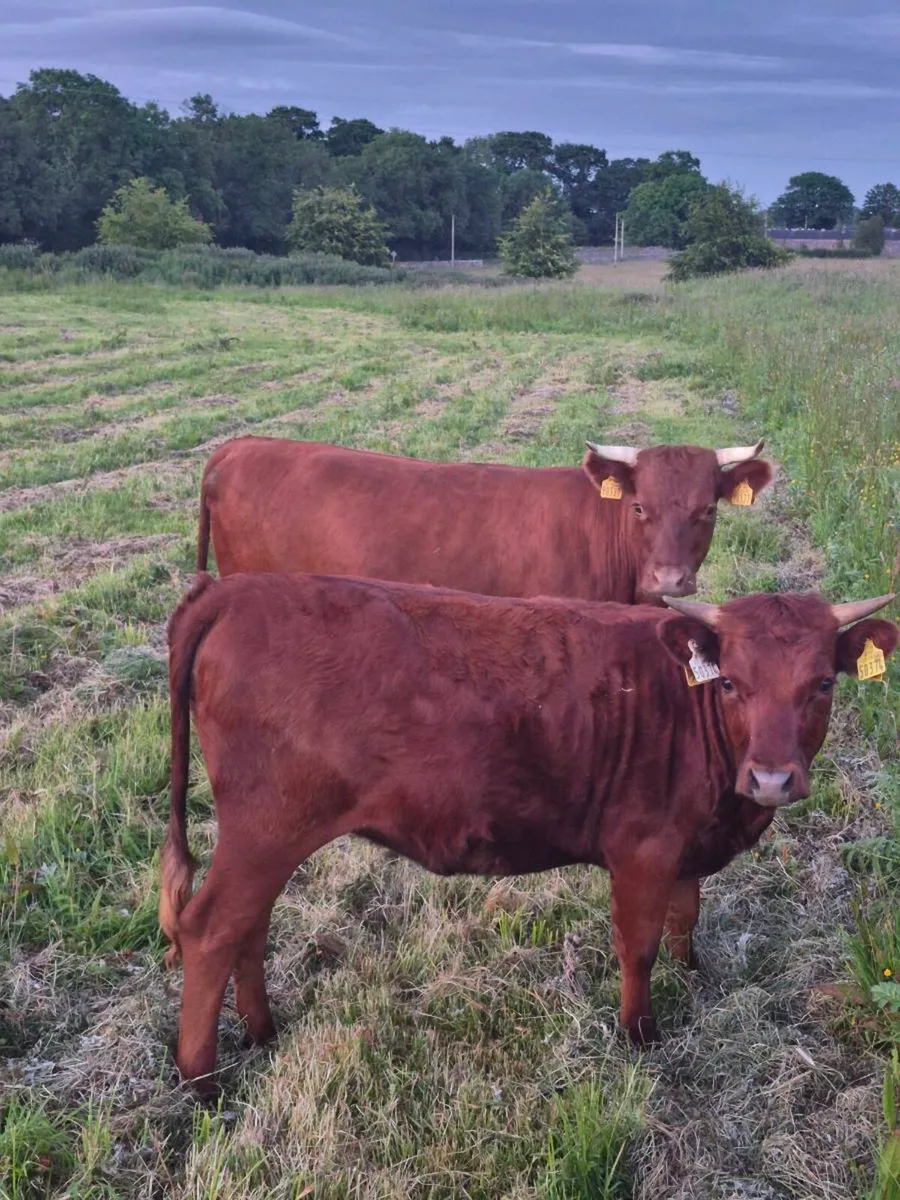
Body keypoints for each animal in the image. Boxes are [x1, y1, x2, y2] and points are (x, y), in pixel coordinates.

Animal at [158, 571, 896, 1095]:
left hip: (265, 840)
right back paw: (201, 1079)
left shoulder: (687, 845)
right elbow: (639, 946)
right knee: (212, 928)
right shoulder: (643, 849)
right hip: (267, 828)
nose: (771, 778)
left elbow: (685, 919)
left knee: (248, 927)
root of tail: (234, 588)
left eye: (822, 683)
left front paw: (694, 978)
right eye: (734, 684)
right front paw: (640, 1035)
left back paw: (261, 1031)